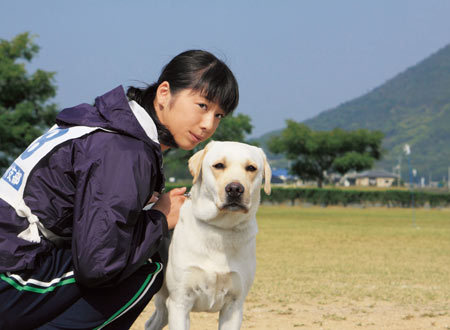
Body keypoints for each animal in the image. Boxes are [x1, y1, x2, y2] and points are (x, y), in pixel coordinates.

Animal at [146, 141, 270, 328]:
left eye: (251, 168)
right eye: (219, 165)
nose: (235, 189)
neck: (220, 229)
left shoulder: (234, 305)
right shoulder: (179, 302)